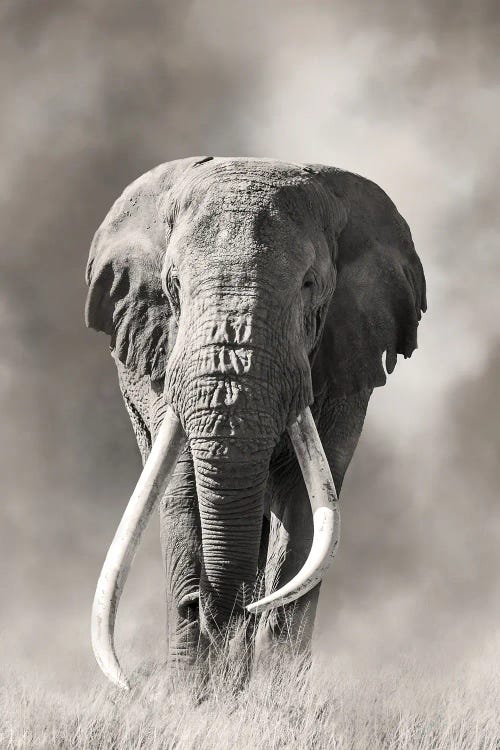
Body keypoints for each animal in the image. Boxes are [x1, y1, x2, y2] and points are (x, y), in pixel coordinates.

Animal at [85, 156, 426, 692]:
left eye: (310, 285)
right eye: (173, 286)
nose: (207, 606)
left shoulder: (345, 361)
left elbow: (307, 508)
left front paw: (274, 693)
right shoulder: (162, 358)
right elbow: (182, 489)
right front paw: (191, 695)